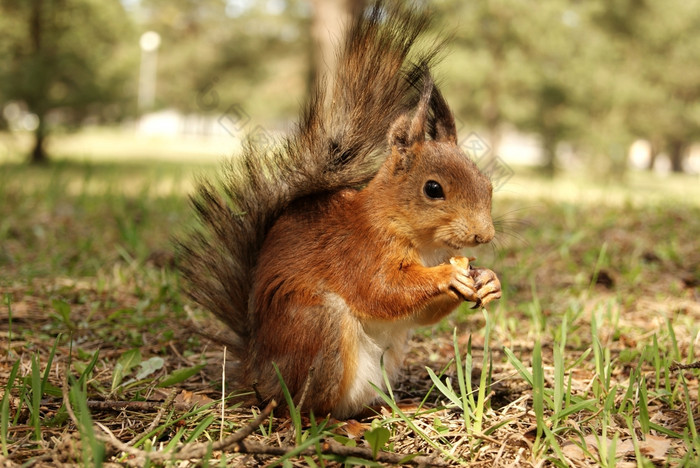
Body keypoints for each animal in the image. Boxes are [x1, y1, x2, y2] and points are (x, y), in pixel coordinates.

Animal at [178, 1, 500, 418]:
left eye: (487, 183)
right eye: (433, 189)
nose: (484, 235)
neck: (420, 241)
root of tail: (256, 374)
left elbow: (418, 313)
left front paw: (489, 279)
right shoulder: (358, 250)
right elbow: (382, 290)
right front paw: (447, 275)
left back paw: (395, 408)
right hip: (317, 326)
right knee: (306, 408)